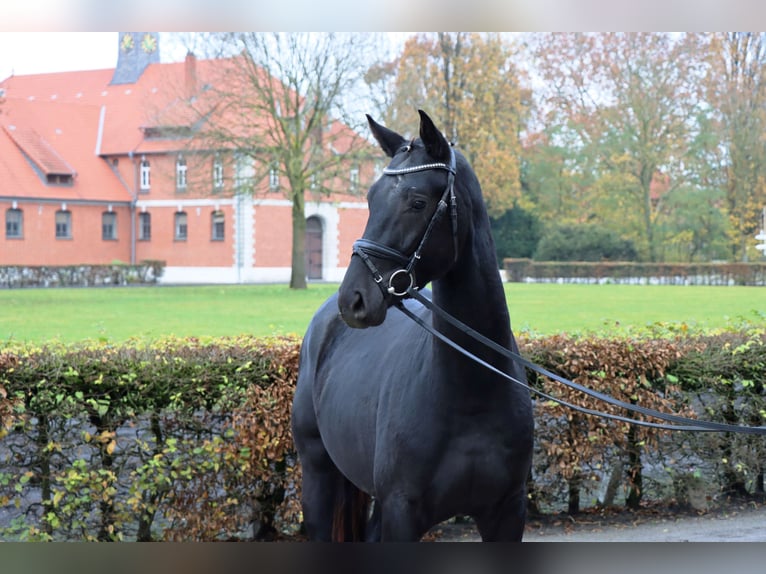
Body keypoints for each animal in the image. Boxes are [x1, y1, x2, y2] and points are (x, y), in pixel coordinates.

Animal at [292, 110, 536, 544]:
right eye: (370, 199)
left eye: (417, 202)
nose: (353, 298)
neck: (472, 392)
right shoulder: (401, 512)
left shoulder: (507, 512)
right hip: (318, 475)